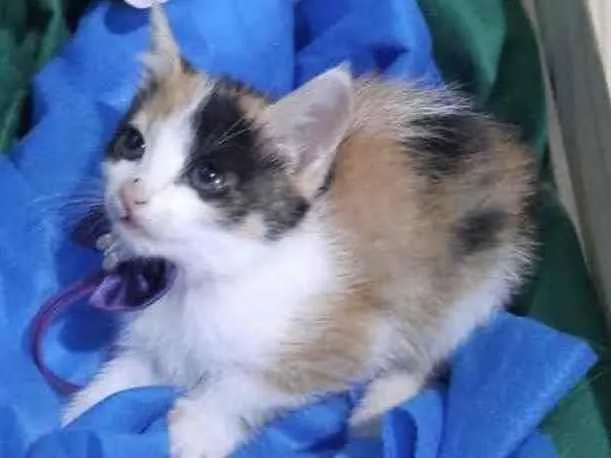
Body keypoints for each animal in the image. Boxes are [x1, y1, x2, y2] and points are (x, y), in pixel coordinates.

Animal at [62, 6, 535, 458]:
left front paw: (194, 429)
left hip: (476, 280)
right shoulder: (160, 338)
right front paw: (82, 414)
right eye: (134, 143)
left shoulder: (357, 333)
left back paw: (380, 407)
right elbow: (130, 378)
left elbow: (255, 384)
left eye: (207, 176)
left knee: (431, 346)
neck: (205, 271)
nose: (132, 193)